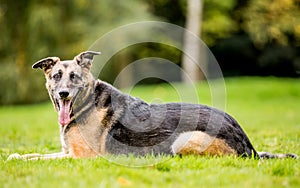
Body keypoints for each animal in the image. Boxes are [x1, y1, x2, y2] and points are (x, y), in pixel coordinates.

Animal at [7, 50, 298, 159]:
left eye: (74, 77)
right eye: (56, 76)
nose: (64, 94)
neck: (85, 105)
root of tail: (249, 145)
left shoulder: (81, 158)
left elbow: (39, 157)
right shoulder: (66, 153)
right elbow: (34, 155)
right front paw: (15, 156)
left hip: (182, 142)